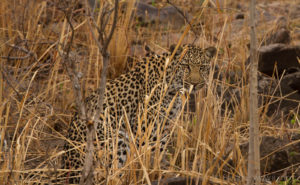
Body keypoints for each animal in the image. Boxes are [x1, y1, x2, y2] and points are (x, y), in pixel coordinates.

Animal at [61, 44, 216, 184]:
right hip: (115, 139)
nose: (194, 83)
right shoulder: (147, 127)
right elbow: (150, 152)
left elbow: (159, 151)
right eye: (186, 66)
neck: (172, 86)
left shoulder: (163, 125)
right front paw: (154, 174)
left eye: (202, 67)